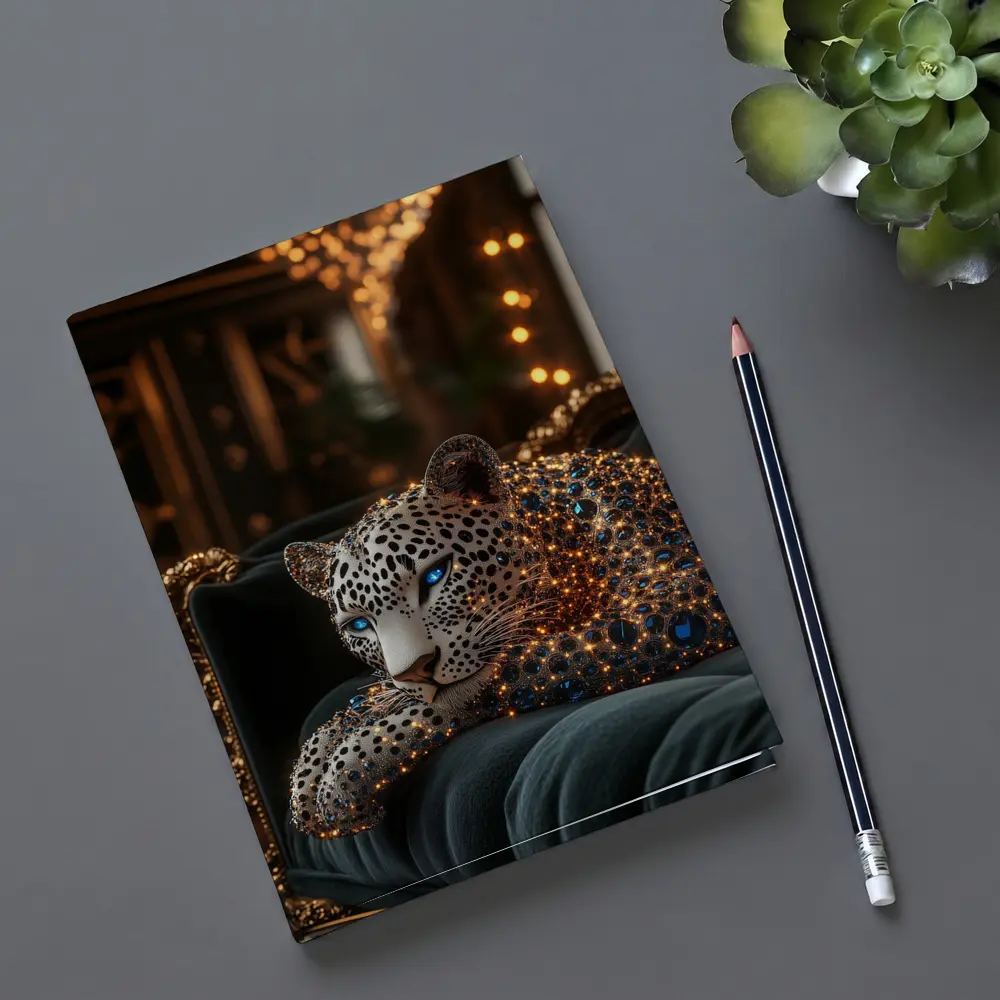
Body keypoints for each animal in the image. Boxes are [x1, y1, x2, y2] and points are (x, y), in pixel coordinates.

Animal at [285, 432, 738, 839]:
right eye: (359, 625)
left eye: (435, 575)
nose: (416, 670)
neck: (561, 531)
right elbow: (370, 701)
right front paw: (311, 769)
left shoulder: (678, 599)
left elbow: (498, 677)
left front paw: (347, 772)